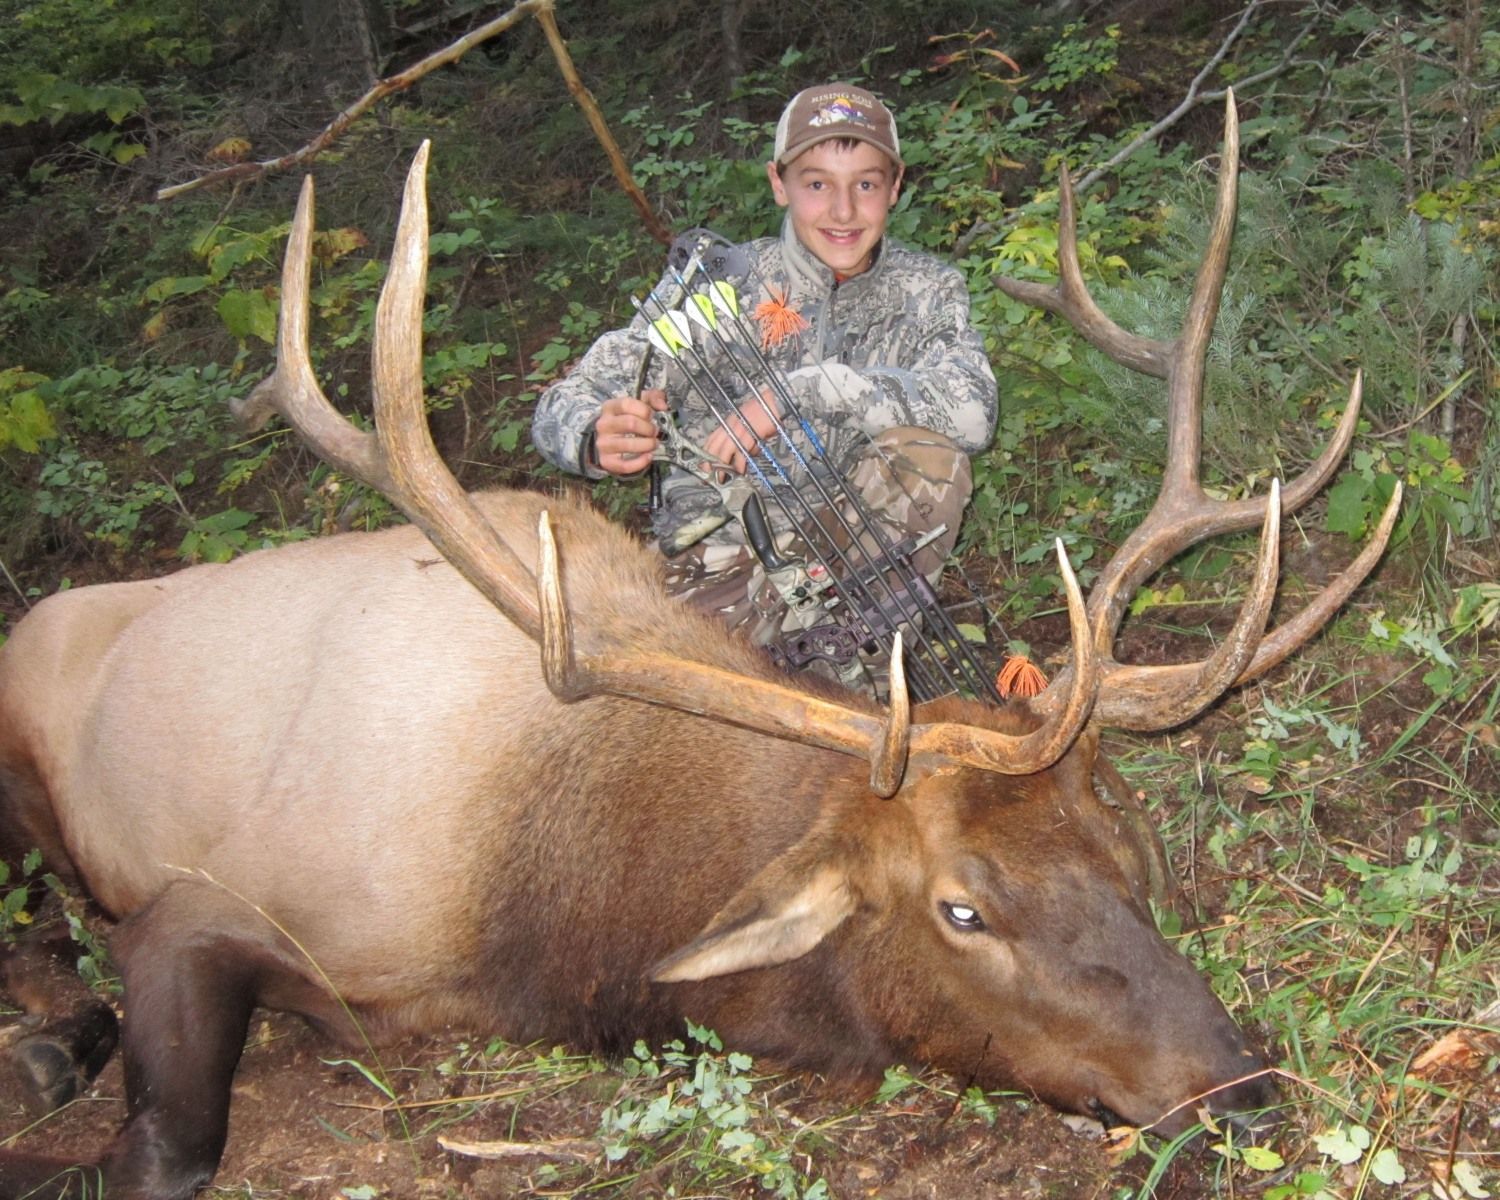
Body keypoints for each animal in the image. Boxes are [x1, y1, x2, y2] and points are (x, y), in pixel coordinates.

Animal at [0, 94, 1398, 1199]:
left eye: (1127, 849)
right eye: (963, 906)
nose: (1240, 1086)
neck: (556, 911)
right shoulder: (203, 901)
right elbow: (167, 1144)